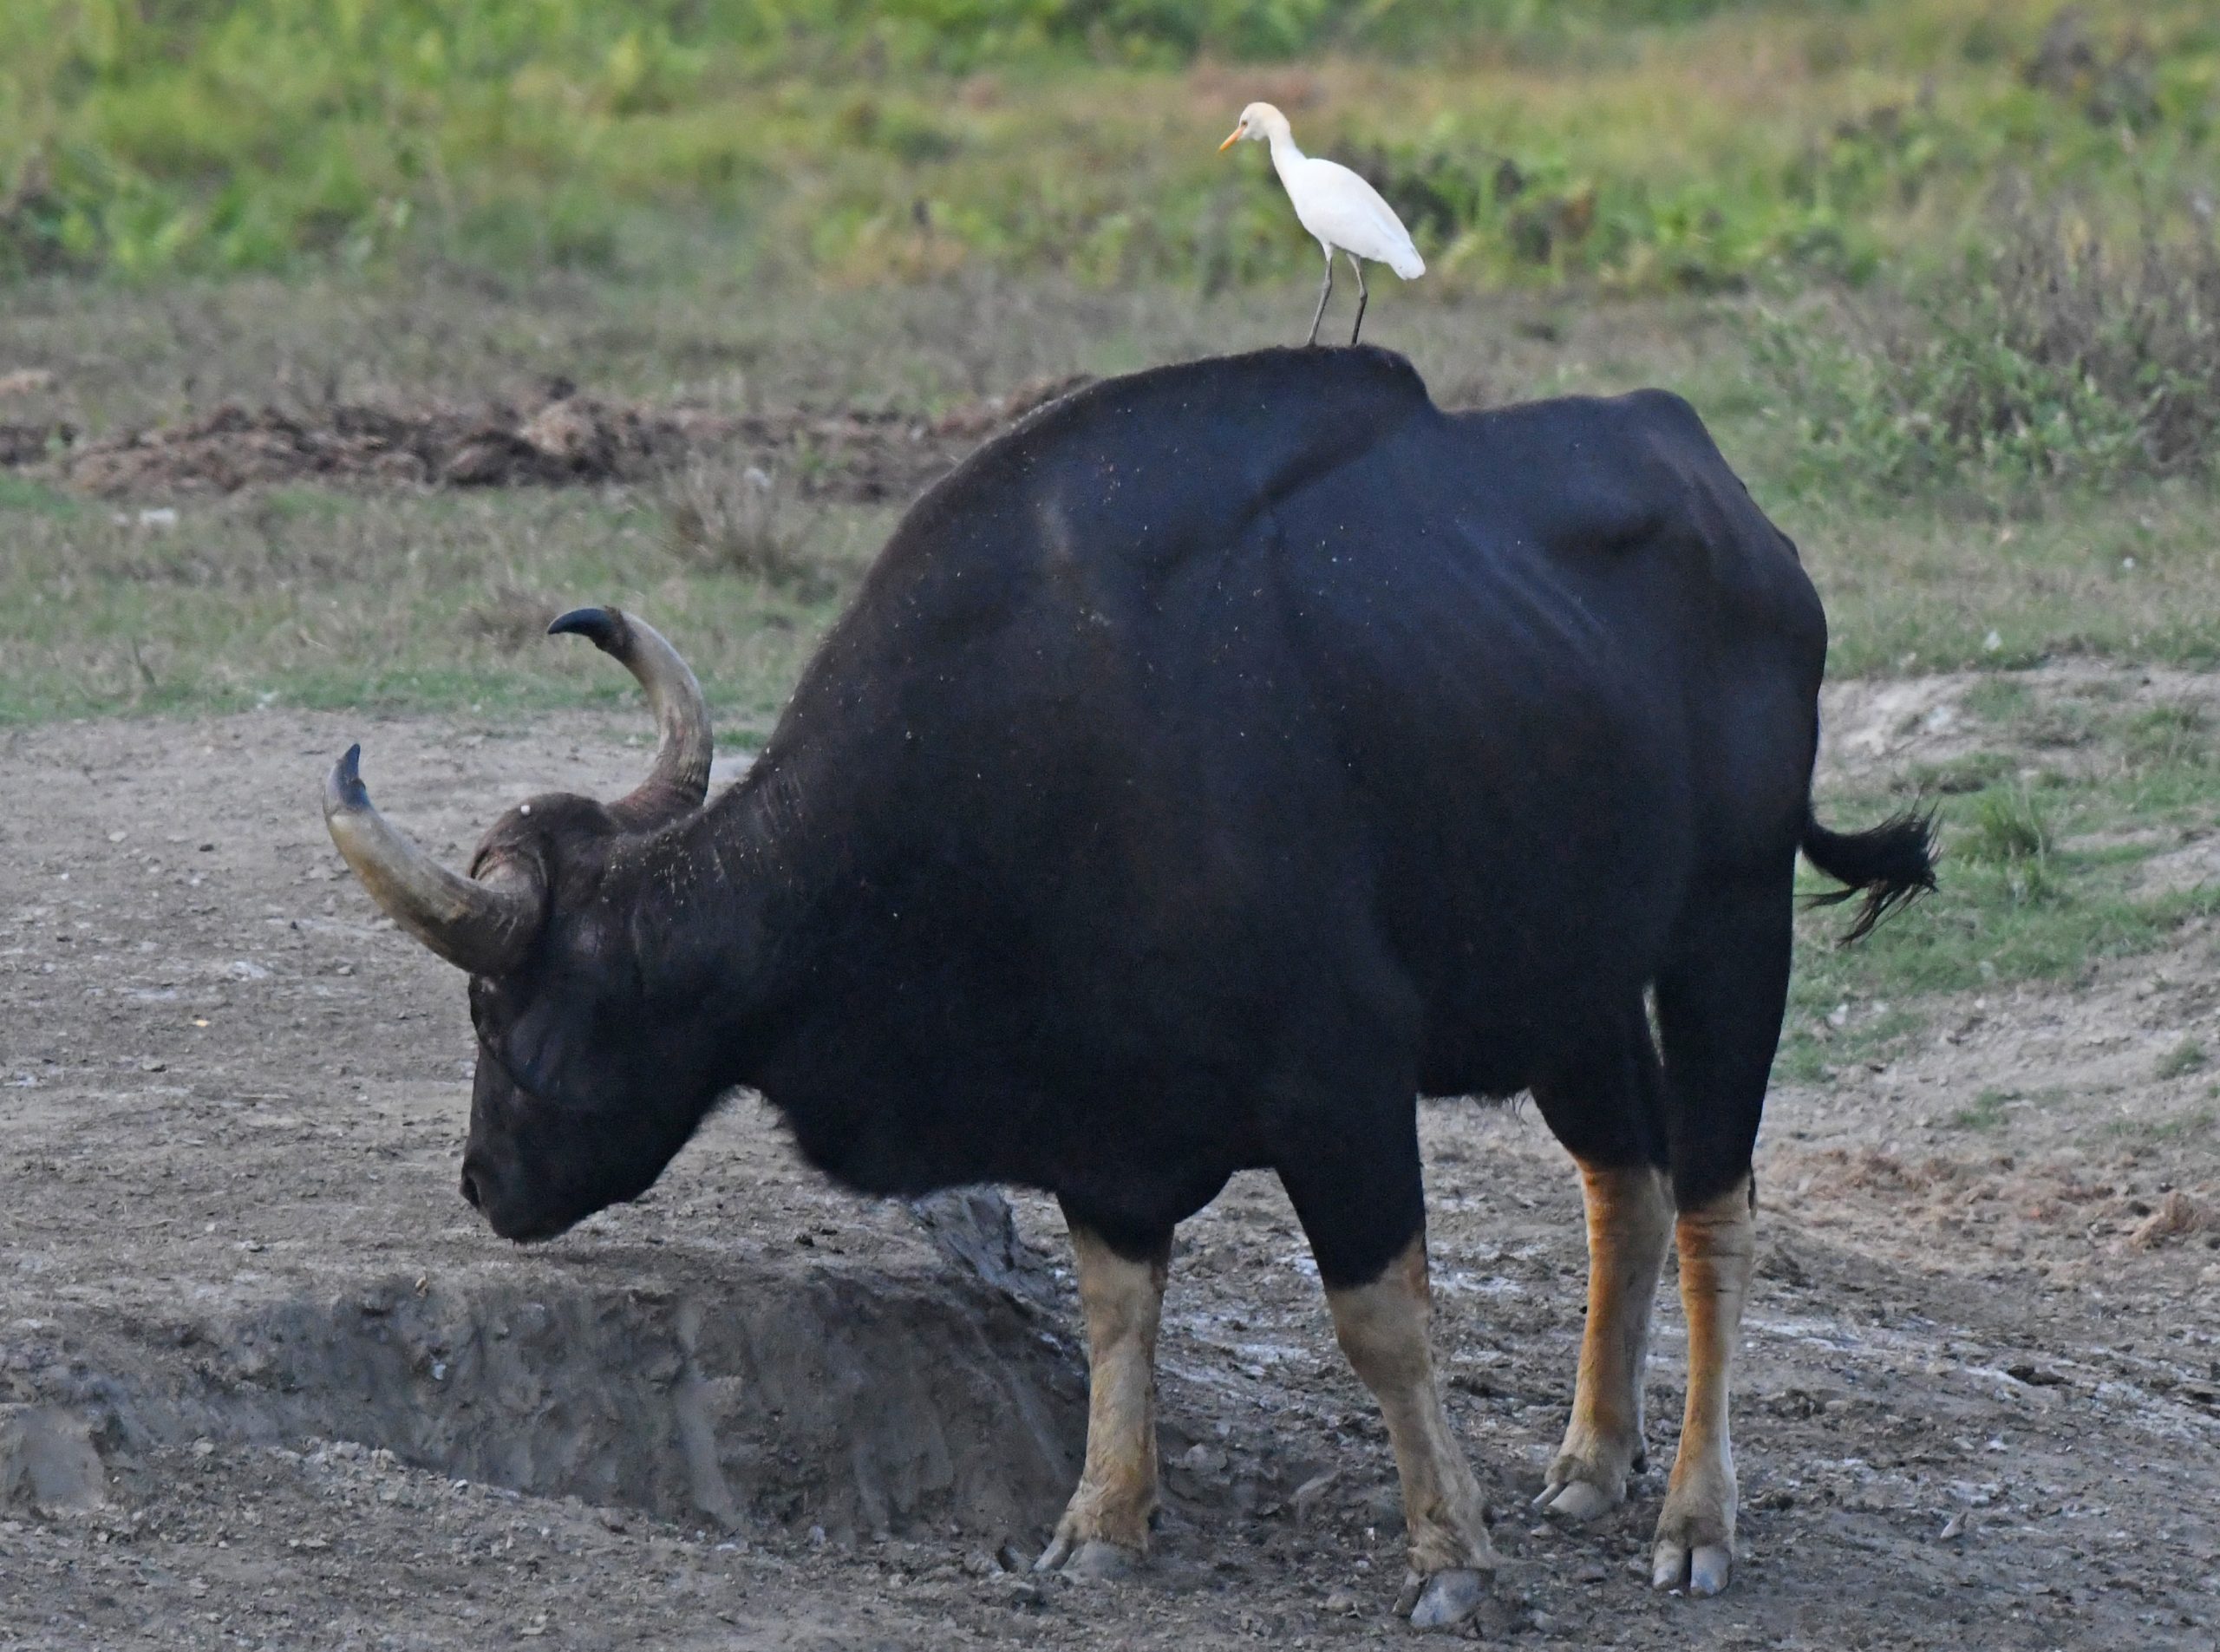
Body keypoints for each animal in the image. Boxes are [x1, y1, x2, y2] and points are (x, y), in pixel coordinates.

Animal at [322, 348, 1936, 1625]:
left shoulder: (1340, 1082)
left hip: (1731, 931)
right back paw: (1593, 1463)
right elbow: (1117, 1309)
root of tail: (1739, 514)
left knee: (1719, 1202)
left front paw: (1448, 1559)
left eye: (498, 1013)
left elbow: (1382, 1320)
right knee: (1629, 1182)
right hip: (1574, 984)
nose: (481, 1181)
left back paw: (1695, 1516)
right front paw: (1101, 1521)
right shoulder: (1098, 1124)